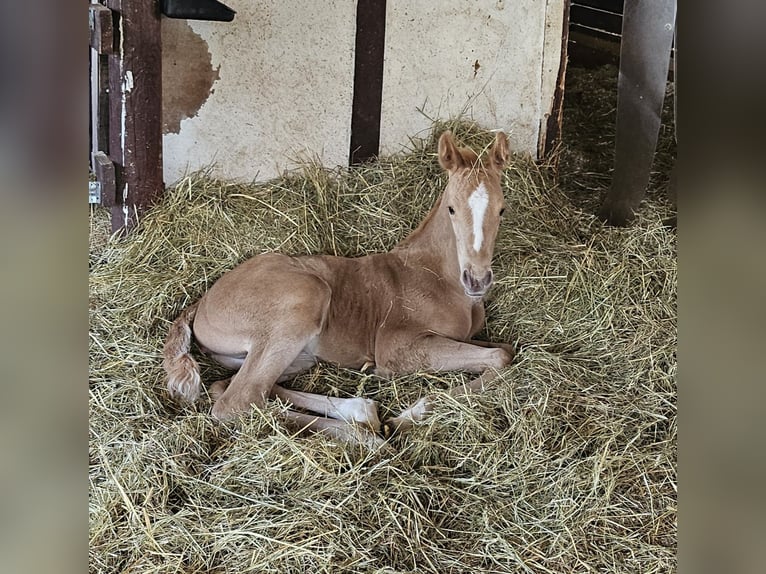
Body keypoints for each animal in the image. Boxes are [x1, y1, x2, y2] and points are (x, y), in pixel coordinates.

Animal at [166, 133, 520, 448]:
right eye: (452, 208)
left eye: (502, 209)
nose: (477, 280)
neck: (437, 277)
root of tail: (202, 301)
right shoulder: (396, 347)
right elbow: (500, 356)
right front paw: (407, 416)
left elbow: (504, 350)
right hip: (304, 299)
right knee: (237, 401)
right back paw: (367, 437)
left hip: (295, 356)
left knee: (235, 388)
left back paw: (362, 412)